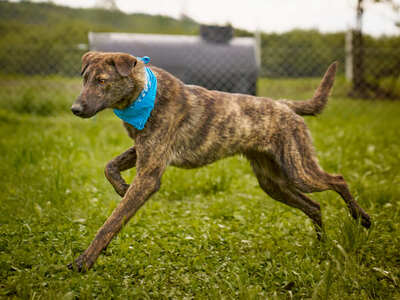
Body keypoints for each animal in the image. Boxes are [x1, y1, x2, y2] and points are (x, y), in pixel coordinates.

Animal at [69, 51, 372, 272]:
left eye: (102, 81)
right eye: (85, 79)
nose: (75, 109)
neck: (144, 95)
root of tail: (285, 105)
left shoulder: (149, 173)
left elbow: (110, 224)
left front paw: (84, 261)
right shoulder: (144, 151)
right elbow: (109, 166)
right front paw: (121, 186)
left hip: (299, 170)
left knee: (338, 180)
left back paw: (362, 217)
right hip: (273, 183)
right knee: (314, 206)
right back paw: (321, 243)